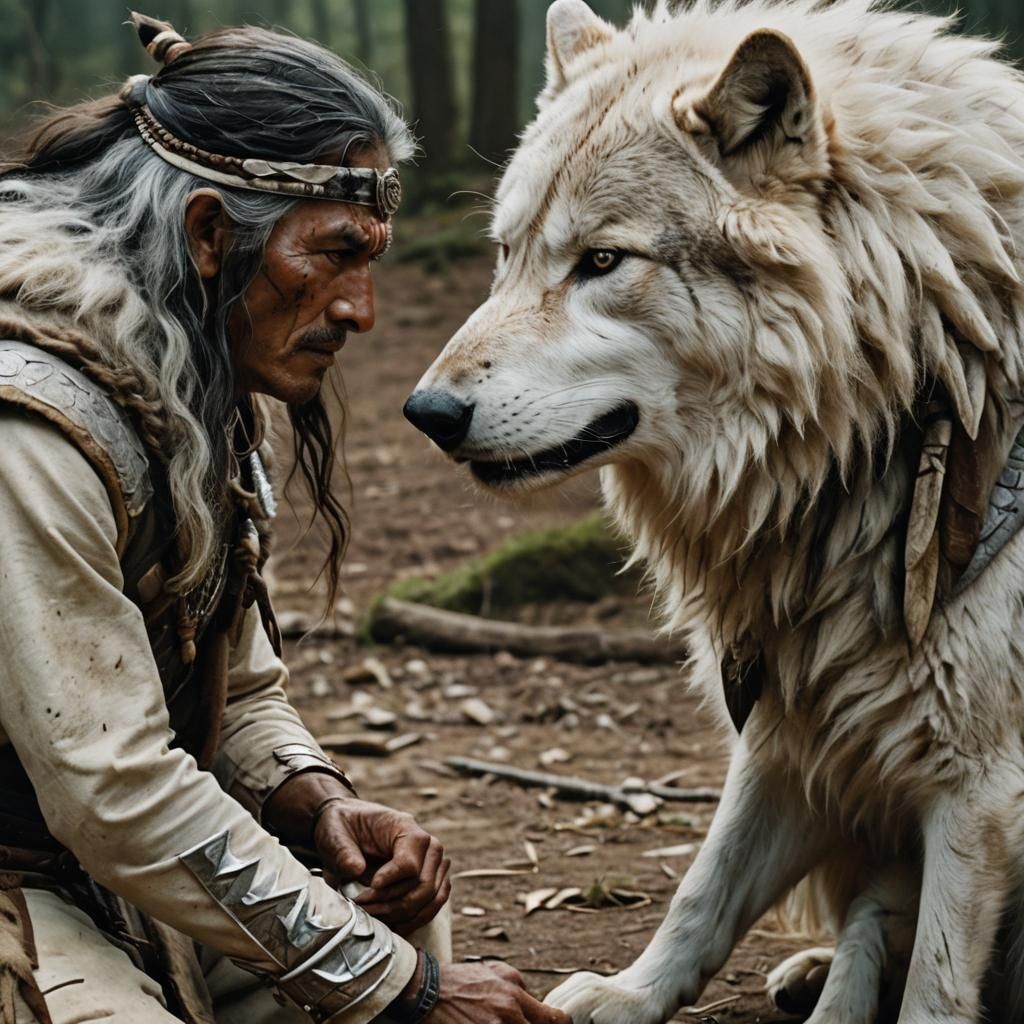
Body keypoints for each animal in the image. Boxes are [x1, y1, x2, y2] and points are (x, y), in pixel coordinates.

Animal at [404, 0, 1024, 1020]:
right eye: (505, 254)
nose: (428, 413)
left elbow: (937, 984)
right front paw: (627, 995)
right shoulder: (790, 720)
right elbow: (705, 888)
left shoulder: (979, 785)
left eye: (601, 260)